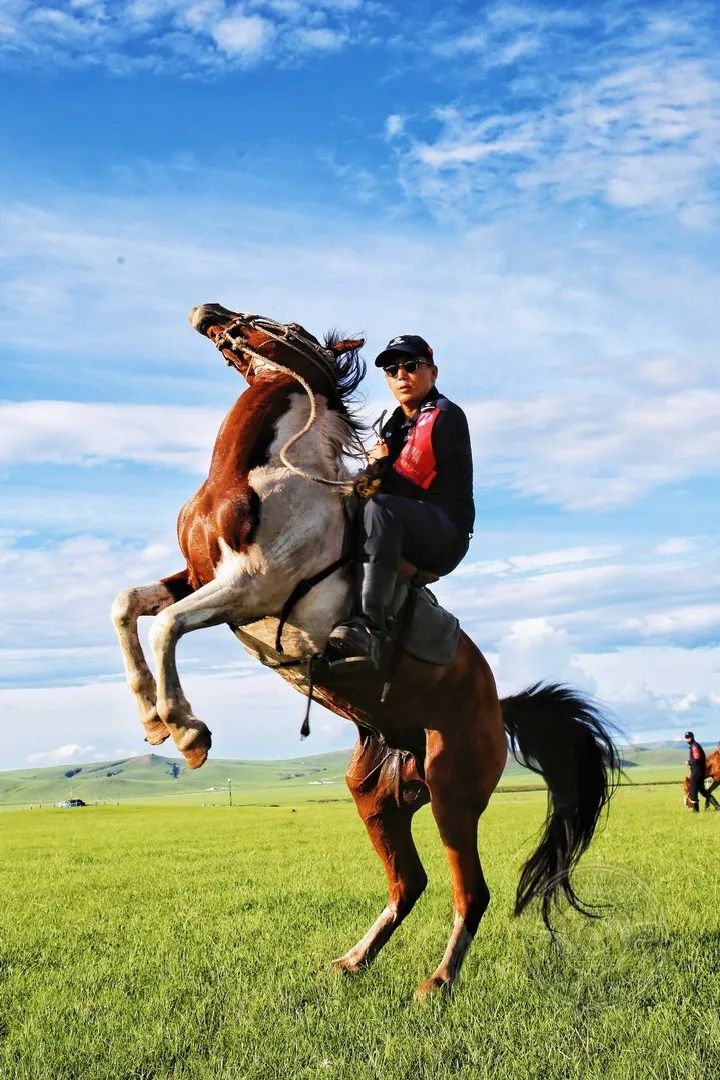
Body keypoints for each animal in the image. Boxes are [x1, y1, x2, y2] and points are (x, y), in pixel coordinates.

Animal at [113, 302, 621, 993]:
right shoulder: (196, 576)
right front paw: (152, 719)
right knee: (410, 883)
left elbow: (166, 626)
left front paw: (188, 732)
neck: (265, 473)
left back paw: (437, 984)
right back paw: (355, 959)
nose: (207, 311)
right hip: (377, 797)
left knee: (471, 891)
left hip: (453, 791)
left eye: (277, 322)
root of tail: (499, 707)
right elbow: (129, 607)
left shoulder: (249, 587)